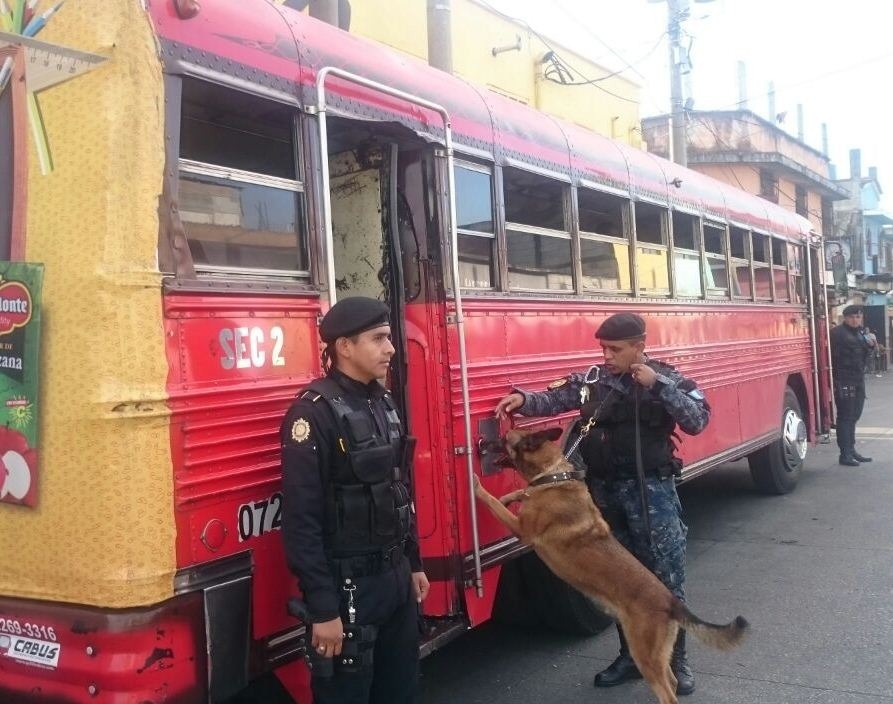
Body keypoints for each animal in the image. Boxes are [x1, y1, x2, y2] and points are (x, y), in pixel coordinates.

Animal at [474, 426, 744, 704]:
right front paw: (510, 494)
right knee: (671, 681)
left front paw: (476, 486)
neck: (553, 476)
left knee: (669, 693)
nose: (482, 444)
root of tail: (671, 602)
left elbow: (494, 502)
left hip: (645, 654)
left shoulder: (522, 530)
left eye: (504, 438)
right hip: (651, 653)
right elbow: (517, 494)